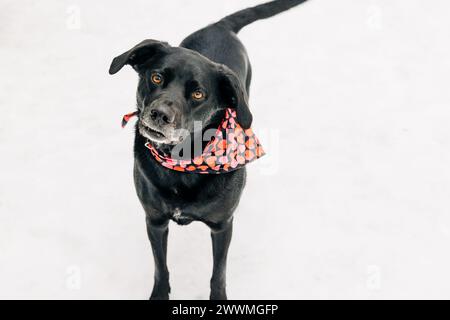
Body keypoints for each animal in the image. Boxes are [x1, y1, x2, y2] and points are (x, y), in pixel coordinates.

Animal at [110, 0, 306, 300]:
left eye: (198, 94)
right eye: (156, 77)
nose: (159, 114)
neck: (183, 164)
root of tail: (220, 25)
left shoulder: (223, 225)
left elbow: (219, 273)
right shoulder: (154, 220)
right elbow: (160, 266)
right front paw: (160, 294)